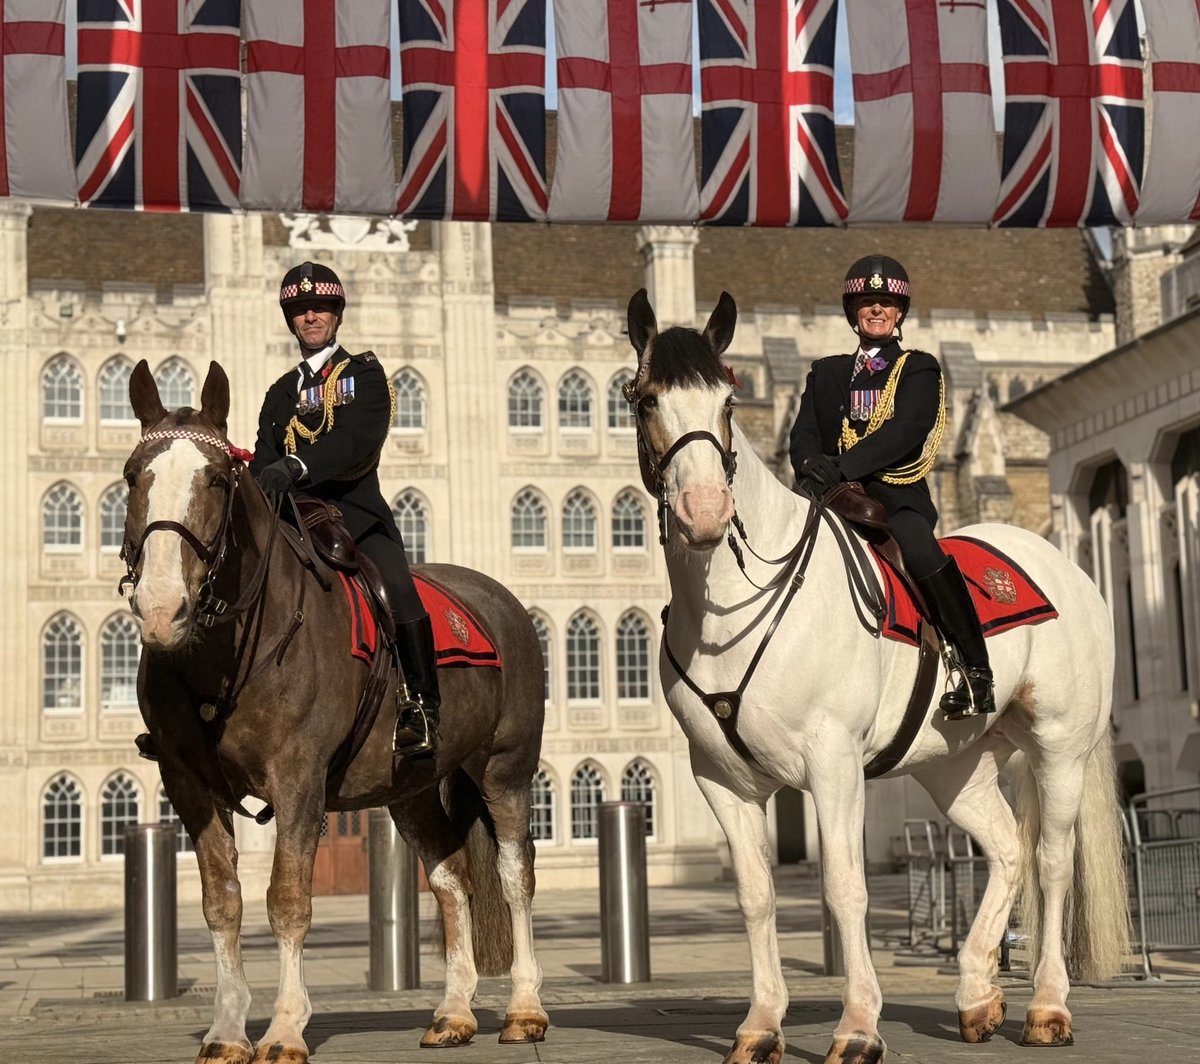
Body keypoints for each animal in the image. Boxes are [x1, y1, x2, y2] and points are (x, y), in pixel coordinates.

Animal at [121, 359, 548, 1064]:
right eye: (133, 476)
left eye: (217, 480)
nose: (161, 609)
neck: (228, 651)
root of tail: (498, 599)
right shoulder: (188, 784)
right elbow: (222, 901)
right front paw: (227, 1030)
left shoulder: (298, 779)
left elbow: (289, 898)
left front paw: (286, 1027)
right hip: (413, 786)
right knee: (452, 878)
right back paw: (454, 1012)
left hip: (505, 770)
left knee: (515, 876)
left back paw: (524, 1008)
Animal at [622, 290, 1130, 1064]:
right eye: (647, 398)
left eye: (728, 403)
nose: (706, 513)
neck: (733, 601)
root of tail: (1057, 563)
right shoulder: (721, 779)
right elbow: (756, 896)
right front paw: (761, 1024)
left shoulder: (833, 762)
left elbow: (843, 888)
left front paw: (858, 1026)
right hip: (954, 765)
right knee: (1006, 849)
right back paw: (977, 995)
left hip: (1060, 747)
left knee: (1052, 861)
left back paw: (1046, 1006)